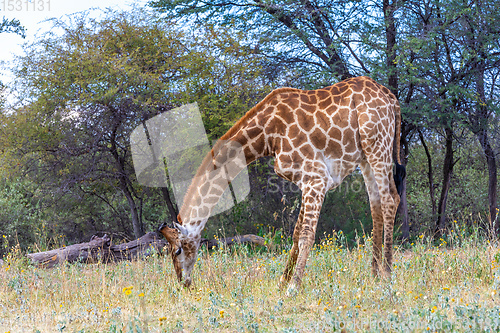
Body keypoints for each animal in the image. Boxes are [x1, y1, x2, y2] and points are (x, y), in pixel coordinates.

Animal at [158, 75, 404, 294]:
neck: (268, 136)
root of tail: (392, 99)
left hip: (377, 145)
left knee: (391, 200)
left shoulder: (316, 178)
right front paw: (282, 283)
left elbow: (306, 236)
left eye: (177, 251)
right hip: (365, 156)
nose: (183, 283)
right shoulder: (306, 181)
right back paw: (373, 276)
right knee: (376, 205)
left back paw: (387, 276)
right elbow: (295, 235)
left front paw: (293, 287)